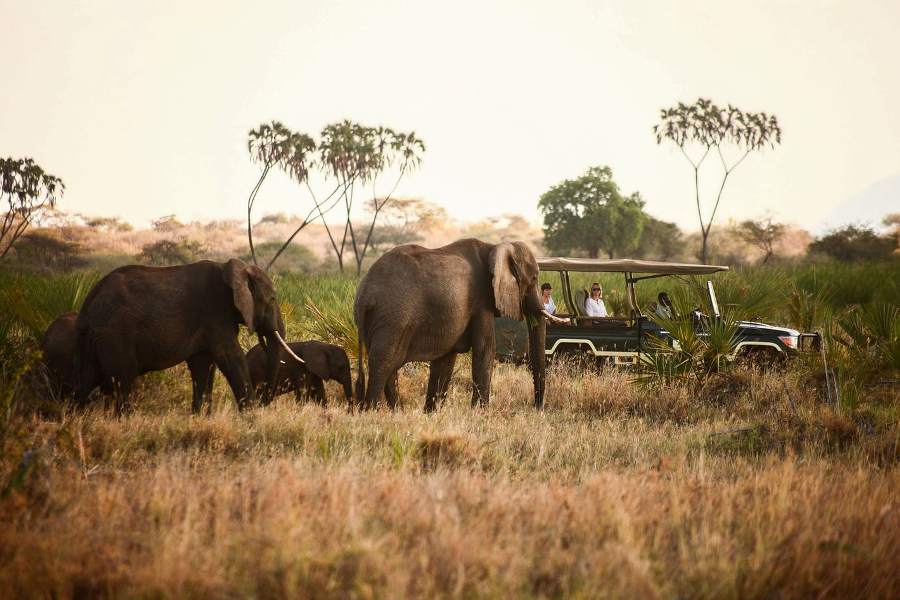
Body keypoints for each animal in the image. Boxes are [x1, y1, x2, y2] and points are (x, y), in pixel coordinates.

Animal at [74, 258, 302, 412]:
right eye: (272, 299)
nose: (264, 400)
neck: (232, 269)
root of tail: (90, 300)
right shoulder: (215, 313)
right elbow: (230, 358)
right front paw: (251, 416)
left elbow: (203, 365)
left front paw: (200, 417)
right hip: (115, 335)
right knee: (123, 380)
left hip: (89, 337)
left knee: (86, 379)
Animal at [354, 238, 556, 412]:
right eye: (534, 278)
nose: (537, 407)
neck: (494, 247)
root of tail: (364, 293)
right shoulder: (481, 301)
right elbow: (485, 349)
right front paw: (479, 413)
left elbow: (445, 360)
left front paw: (432, 414)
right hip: (394, 319)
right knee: (383, 363)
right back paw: (372, 412)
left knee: (389, 367)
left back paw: (396, 412)